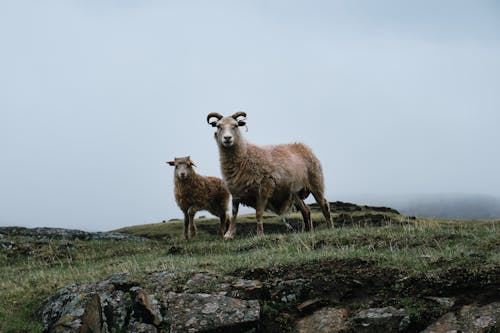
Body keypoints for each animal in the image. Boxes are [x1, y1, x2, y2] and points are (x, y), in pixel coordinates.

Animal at [205, 111, 334, 239]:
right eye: (218, 126)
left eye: (235, 125)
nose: (227, 138)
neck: (245, 155)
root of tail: (304, 147)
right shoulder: (236, 192)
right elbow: (234, 214)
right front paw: (229, 234)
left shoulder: (264, 189)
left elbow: (258, 213)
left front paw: (259, 235)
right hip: (295, 192)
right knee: (306, 210)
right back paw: (308, 231)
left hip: (316, 182)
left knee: (324, 204)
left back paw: (330, 227)